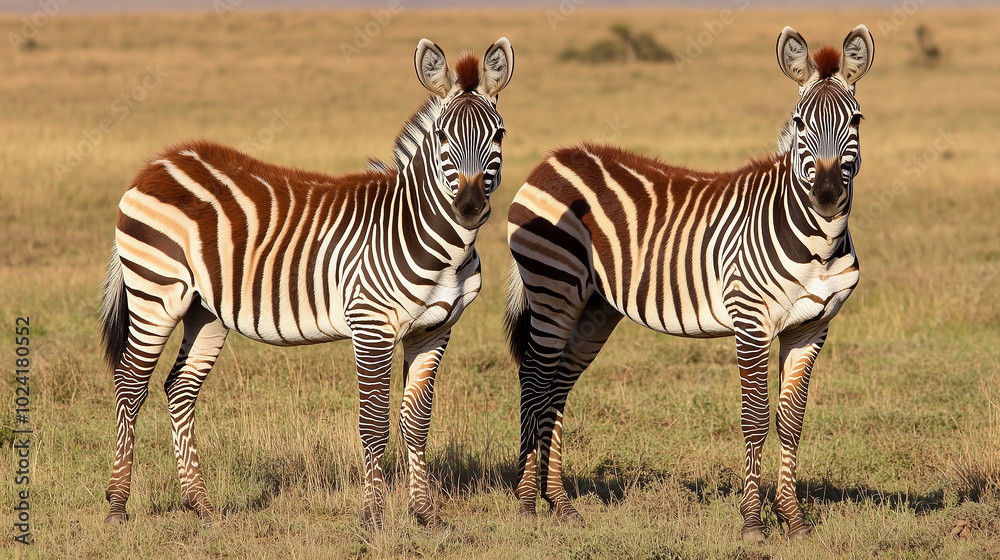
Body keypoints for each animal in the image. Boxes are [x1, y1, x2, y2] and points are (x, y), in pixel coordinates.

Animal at [99, 36, 516, 528]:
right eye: (442, 137)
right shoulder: (371, 326)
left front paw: (425, 514)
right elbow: (374, 424)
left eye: (499, 135)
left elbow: (416, 425)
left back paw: (200, 505)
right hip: (156, 293)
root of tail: (160, 162)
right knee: (130, 385)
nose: (469, 208)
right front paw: (372, 516)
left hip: (206, 310)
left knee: (179, 389)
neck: (435, 245)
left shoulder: (434, 331)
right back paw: (118, 504)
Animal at [504, 26, 872, 544]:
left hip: (593, 307)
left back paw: (560, 503)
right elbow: (755, 419)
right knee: (534, 380)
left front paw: (794, 519)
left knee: (556, 387)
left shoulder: (811, 329)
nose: (826, 194)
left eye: (855, 120)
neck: (819, 242)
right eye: (800, 123)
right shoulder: (751, 321)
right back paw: (525, 504)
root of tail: (553, 159)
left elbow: (791, 422)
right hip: (553, 289)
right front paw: (753, 522)